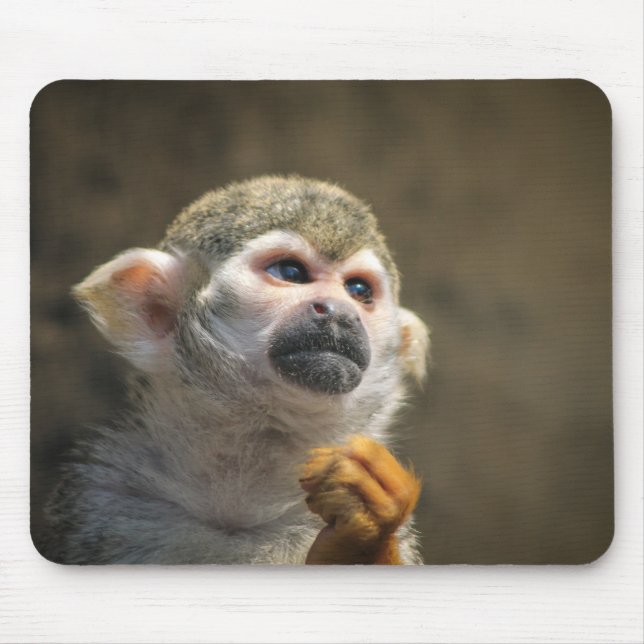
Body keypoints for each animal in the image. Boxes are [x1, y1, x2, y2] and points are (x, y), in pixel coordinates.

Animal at [41, 175, 429, 565]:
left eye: (359, 290)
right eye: (291, 272)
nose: (340, 312)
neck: (236, 506)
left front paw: (364, 532)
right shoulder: (100, 495)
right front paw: (364, 531)